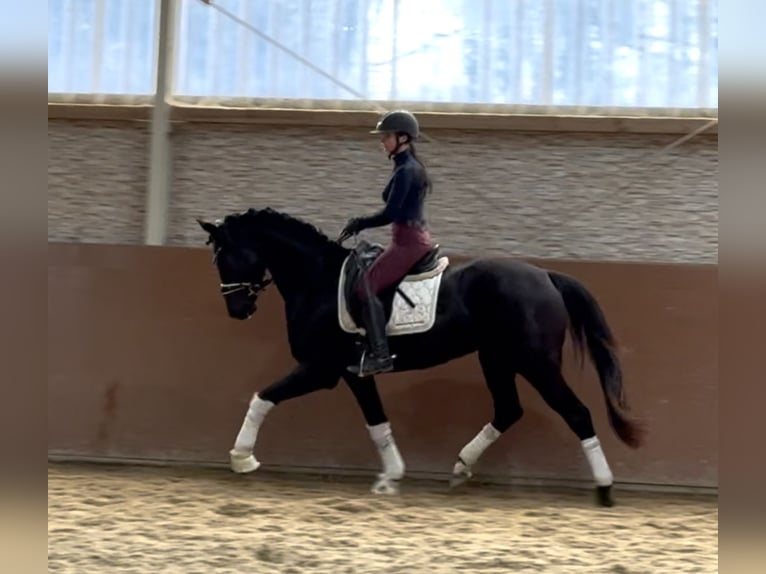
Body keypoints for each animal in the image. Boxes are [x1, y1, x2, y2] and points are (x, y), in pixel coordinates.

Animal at [196, 208, 640, 508]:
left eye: (225, 257)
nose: (237, 310)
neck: (318, 281)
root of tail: (546, 276)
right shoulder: (354, 373)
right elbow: (377, 422)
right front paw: (391, 477)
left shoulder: (320, 369)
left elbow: (262, 397)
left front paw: (242, 458)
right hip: (497, 358)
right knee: (508, 409)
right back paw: (461, 466)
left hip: (536, 362)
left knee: (577, 413)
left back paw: (604, 488)